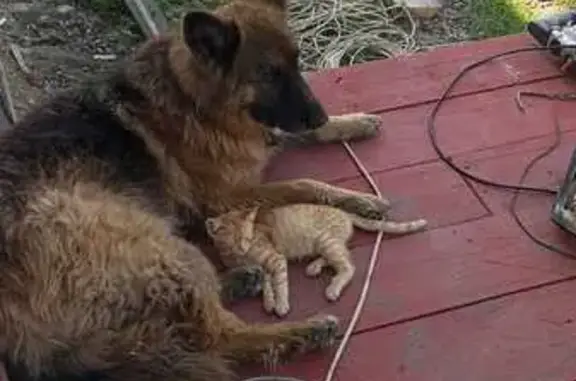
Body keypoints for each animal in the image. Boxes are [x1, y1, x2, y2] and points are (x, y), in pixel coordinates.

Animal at [0, 0, 390, 380]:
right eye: (268, 74)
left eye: (297, 62)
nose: (319, 114)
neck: (192, 98)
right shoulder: (227, 196)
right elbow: (304, 183)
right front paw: (361, 199)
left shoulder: (258, 138)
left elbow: (294, 135)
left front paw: (351, 122)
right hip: (158, 244)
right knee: (219, 338)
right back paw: (301, 333)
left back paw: (239, 280)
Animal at [207, 203, 428, 316]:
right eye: (233, 242)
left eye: (247, 239)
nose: (243, 248)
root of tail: (344, 213)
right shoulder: (262, 268)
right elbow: (268, 285)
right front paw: (269, 301)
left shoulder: (276, 259)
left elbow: (280, 284)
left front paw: (281, 304)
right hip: (327, 243)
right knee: (339, 256)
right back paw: (314, 266)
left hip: (325, 240)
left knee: (348, 266)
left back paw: (333, 288)